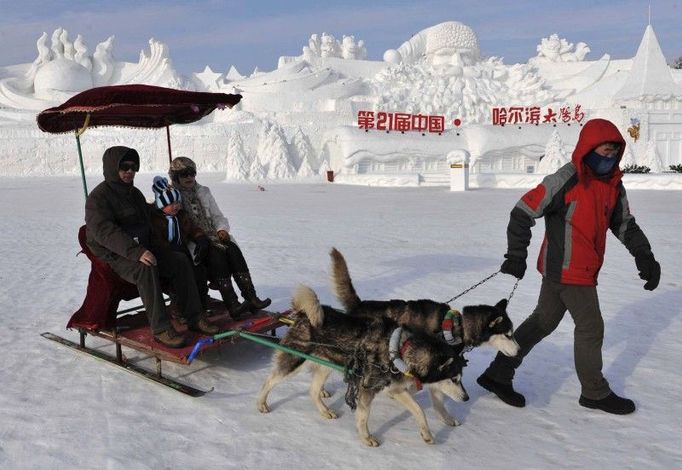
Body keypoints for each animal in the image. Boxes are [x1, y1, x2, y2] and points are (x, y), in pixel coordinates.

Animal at [255, 284, 468, 446]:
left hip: (325, 366)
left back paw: (325, 411)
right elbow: (363, 416)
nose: (466, 398)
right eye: (454, 379)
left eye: (460, 378)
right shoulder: (368, 389)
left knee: (313, 391)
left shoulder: (396, 389)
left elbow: (418, 410)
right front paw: (366, 438)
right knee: (269, 380)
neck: (400, 351)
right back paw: (261, 403)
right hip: (294, 360)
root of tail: (303, 315)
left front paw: (426, 433)